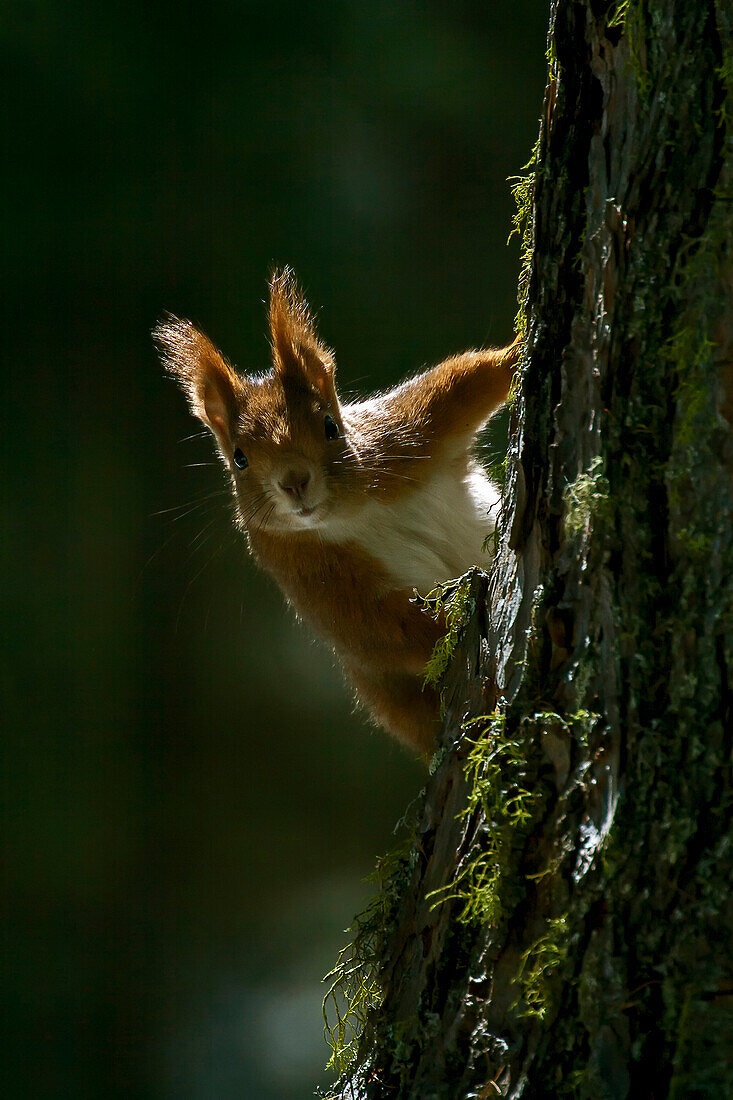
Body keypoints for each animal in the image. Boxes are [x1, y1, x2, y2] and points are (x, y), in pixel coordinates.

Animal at [155, 272, 519, 756]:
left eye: (330, 426)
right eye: (239, 458)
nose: (294, 481)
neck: (350, 513)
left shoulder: (405, 435)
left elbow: (466, 381)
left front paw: (518, 351)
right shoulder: (310, 574)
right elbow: (382, 630)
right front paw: (456, 628)